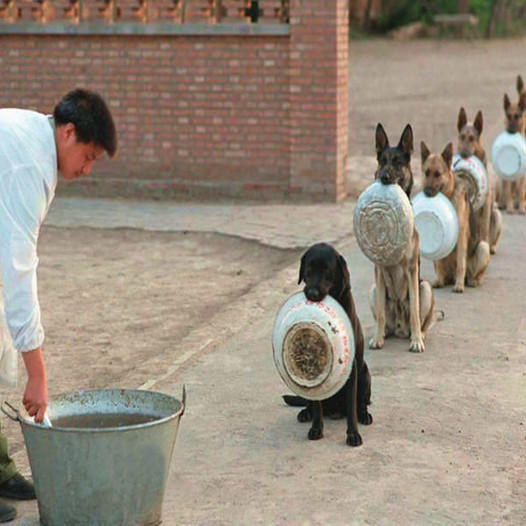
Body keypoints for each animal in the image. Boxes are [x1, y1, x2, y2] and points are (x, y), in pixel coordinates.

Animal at [282, 245, 374, 448]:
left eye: (327, 272)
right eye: (308, 270)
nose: (312, 294)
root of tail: (335, 410)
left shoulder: (352, 368)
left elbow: (352, 408)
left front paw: (353, 435)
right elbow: (317, 406)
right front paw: (316, 429)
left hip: (365, 373)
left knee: (361, 403)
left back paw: (364, 415)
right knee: (311, 404)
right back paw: (306, 413)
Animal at [370, 124, 436, 354]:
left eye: (398, 162)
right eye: (382, 161)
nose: (383, 176)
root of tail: (399, 328)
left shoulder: (411, 268)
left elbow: (415, 311)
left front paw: (416, 341)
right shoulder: (379, 271)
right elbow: (381, 314)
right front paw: (377, 338)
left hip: (425, 287)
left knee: (422, 320)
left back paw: (419, 335)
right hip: (374, 290)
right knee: (384, 318)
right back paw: (384, 333)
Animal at [422, 142, 492, 294]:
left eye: (437, 174)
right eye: (426, 173)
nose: (427, 192)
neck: (448, 195)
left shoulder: (461, 237)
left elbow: (461, 263)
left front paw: (459, 285)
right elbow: (440, 264)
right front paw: (439, 280)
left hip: (483, 247)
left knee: (476, 274)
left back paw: (471, 281)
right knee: (442, 270)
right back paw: (442, 280)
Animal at [458, 107, 504, 256]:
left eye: (472, 139)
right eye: (462, 137)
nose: (463, 154)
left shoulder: (487, 203)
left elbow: (484, 227)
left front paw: (484, 246)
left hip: (496, 215)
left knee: (490, 237)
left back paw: (491, 247)